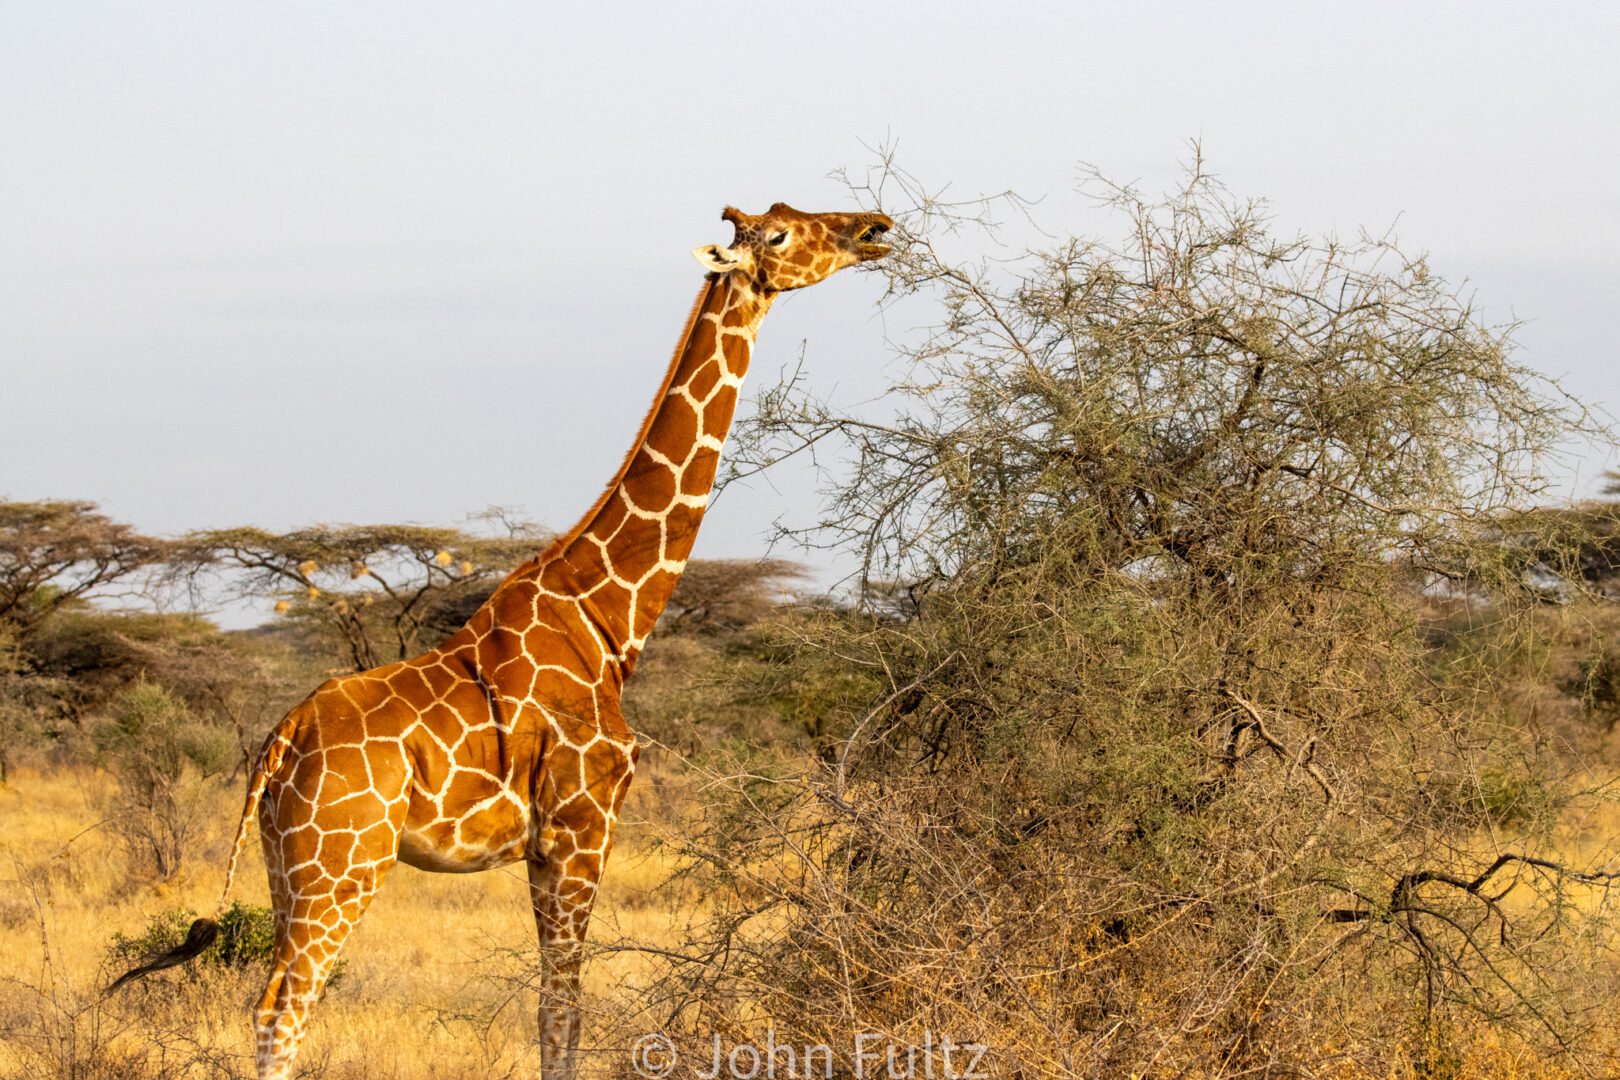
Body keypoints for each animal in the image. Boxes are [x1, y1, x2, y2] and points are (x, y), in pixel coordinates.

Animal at [110, 204, 900, 1080]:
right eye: (783, 236)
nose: (875, 227)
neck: (606, 616)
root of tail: (279, 743)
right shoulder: (580, 823)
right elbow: (563, 1010)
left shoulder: (544, 842)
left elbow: (554, 1007)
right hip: (343, 865)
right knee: (282, 1005)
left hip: (287, 862)